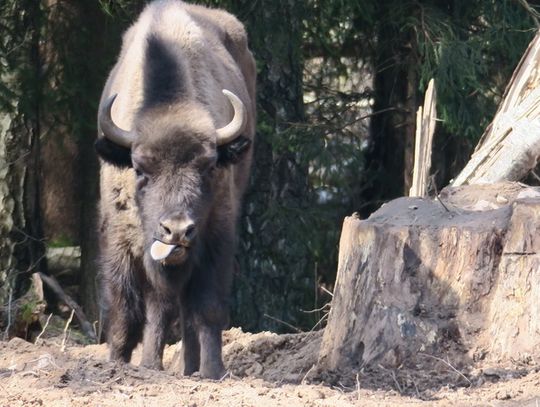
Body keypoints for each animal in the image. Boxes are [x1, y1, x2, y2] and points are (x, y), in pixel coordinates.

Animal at [94, 0, 256, 380]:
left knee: (185, 310)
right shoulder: (121, 239)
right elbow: (129, 309)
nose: (177, 230)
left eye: (209, 167)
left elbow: (206, 308)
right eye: (139, 169)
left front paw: (212, 372)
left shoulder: (215, 236)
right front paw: (125, 364)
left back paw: (190, 366)